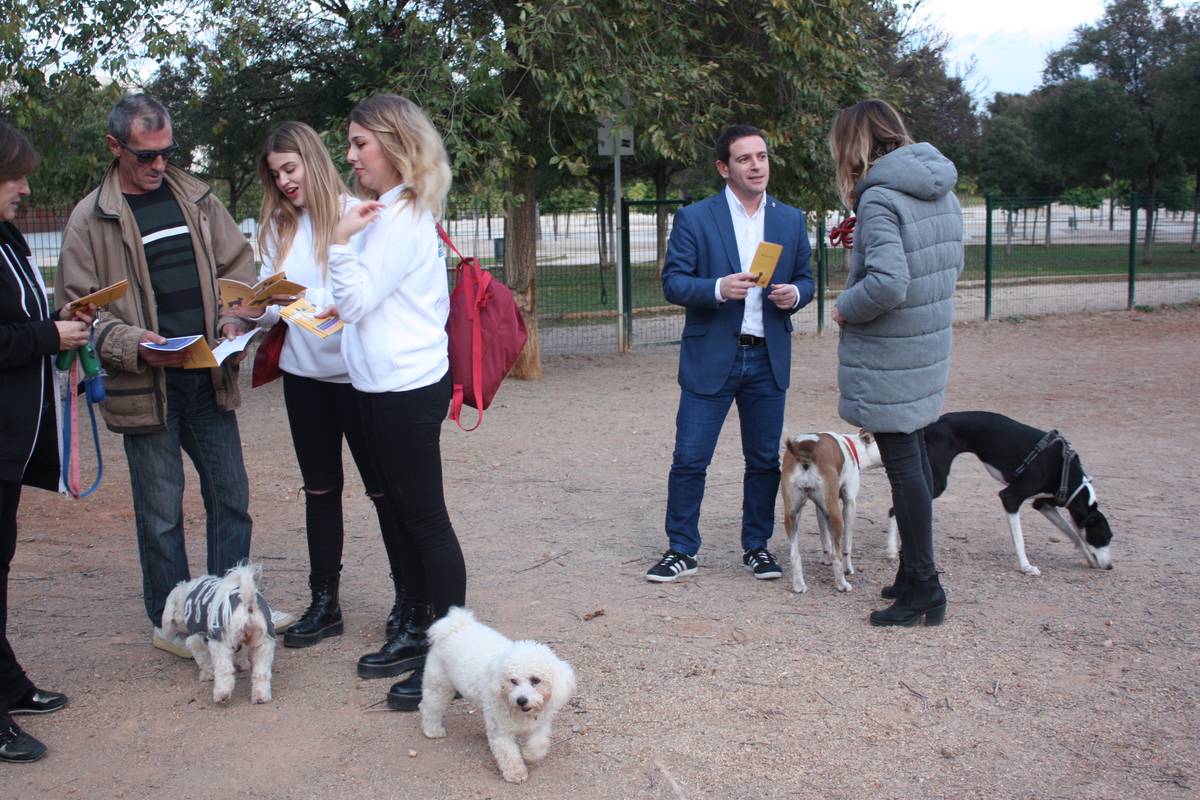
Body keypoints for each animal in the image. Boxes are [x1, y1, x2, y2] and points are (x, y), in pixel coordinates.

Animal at [160, 561, 277, 705]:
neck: (185, 595)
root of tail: (247, 603)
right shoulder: (242, 642)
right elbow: (242, 654)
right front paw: (243, 665)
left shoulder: (196, 638)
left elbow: (203, 659)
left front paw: (206, 674)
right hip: (264, 645)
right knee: (262, 674)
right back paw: (261, 696)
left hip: (221, 644)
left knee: (224, 671)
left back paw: (222, 694)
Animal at [420, 609, 573, 786]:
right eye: (513, 681)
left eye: (536, 680)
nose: (521, 700)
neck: (521, 713)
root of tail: (454, 626)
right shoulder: (501, 732)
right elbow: (508, 754)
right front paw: (516, 773)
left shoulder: (540, 725)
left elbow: (539, 744)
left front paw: (528, 755)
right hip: (439, 686)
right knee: (430, 707)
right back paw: (432, 730)